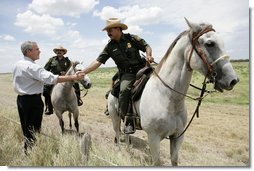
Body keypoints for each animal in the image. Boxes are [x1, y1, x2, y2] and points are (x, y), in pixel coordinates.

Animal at [106, 19, 238, 166]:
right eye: (210, 43)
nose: (233, 80)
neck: (167, 97)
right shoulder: (153, 138)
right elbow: (157, 162)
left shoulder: (178, 136)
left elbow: (174, 160)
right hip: (115, 118)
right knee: (118, 134)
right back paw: (119, 152)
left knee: (127, 134)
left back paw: (129, 150)